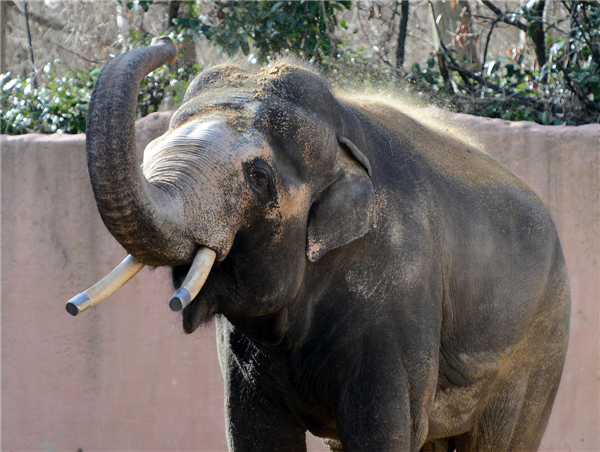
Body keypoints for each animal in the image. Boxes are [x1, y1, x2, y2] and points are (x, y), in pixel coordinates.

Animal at [82, 38, 568, 452]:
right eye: (150, 153)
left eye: (258, 176)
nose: (167, 42)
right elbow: (253, 432)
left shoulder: (398, 298)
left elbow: (383, 432)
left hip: (538, 348)